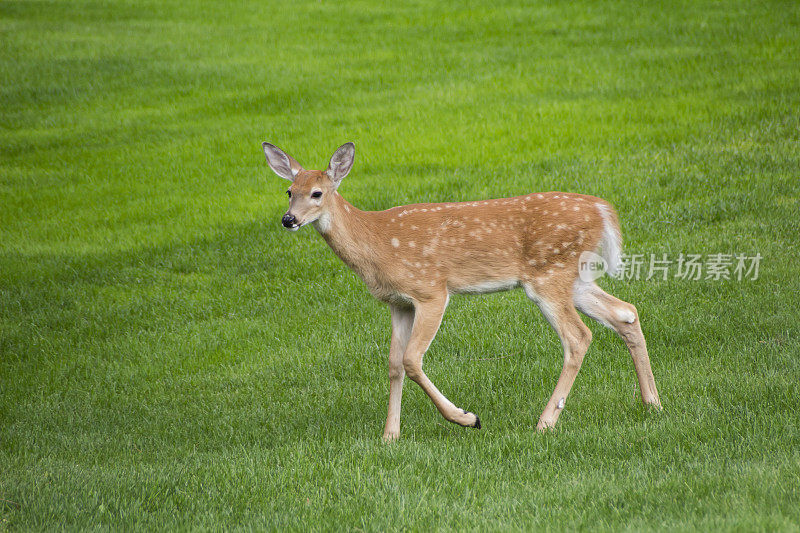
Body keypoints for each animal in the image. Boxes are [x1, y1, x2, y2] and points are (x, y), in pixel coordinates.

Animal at [264, 141, 664, 440]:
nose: (288, 219)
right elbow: (393, 364)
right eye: (289, 191)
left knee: (578, 336)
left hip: (548, 275)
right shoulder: (398, 303)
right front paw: (390, 435)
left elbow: (411, 360)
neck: (377, 244)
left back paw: (545, 421)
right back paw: (652, 403)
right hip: (575, 278)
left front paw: (467, 418)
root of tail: (604, 210)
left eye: (317, 193)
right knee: (626, 312)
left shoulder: (430, 290)